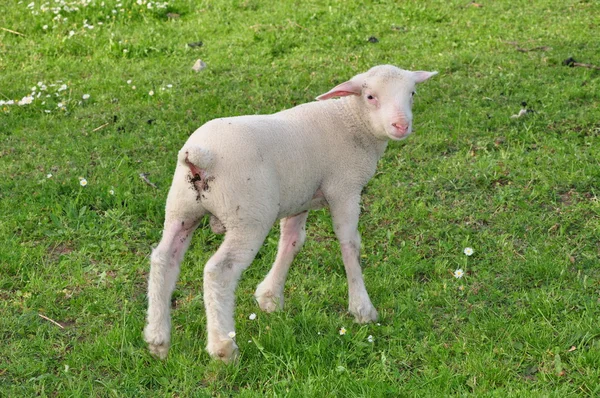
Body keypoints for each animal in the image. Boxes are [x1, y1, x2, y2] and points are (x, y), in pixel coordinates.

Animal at [144, 64, 438, 360]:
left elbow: (292, 241)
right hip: (248, 217)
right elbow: (350, 244)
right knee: (219, 271)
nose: (401, 125)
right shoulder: (344, 189)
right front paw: (361, 308)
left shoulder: (300, 199)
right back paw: (223, 347)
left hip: (181, 208)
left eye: (412, 93)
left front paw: (270, 297)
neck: (351, 120)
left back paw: (158, 339)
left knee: (163, 259)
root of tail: (200, 156)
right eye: (370, 97)